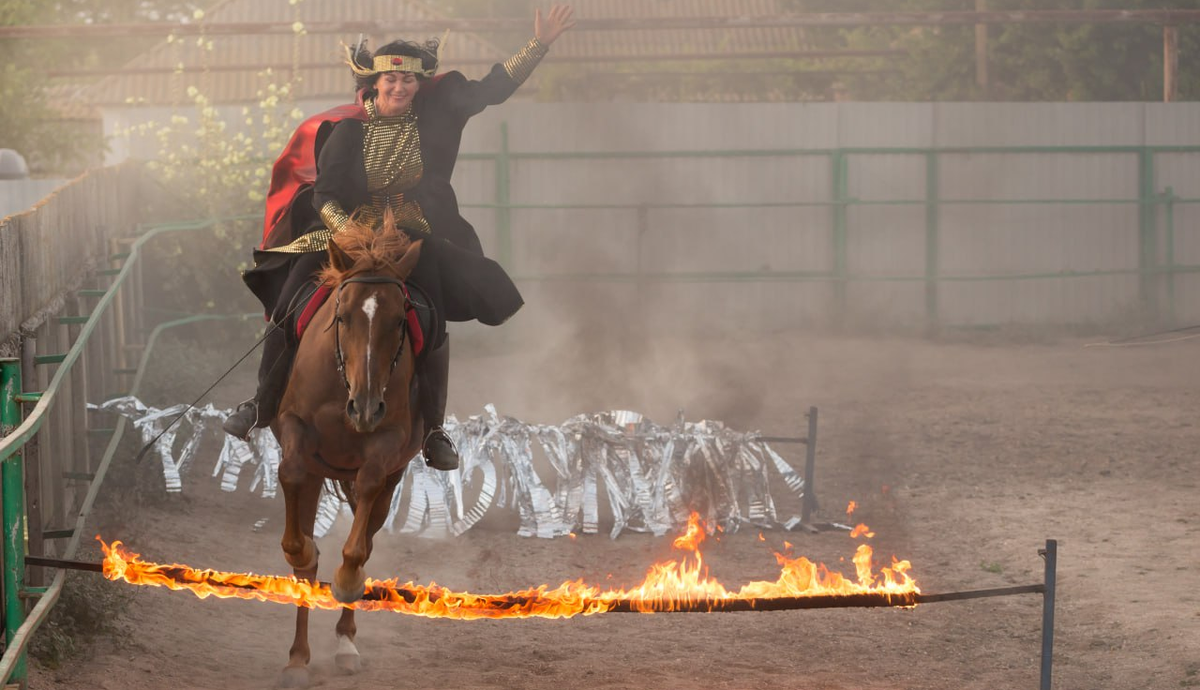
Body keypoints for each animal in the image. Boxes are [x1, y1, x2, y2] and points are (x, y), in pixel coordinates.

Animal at [272, 224, 427, 686]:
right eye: (343, 317)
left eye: (400, 321)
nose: (365, 407)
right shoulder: (294, 429)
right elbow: (290, 474)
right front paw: (303, 552)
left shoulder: (388, 443)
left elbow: (359, 539)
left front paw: (346, 578)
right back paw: (297, 659)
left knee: (368, 534)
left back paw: (344, 643)